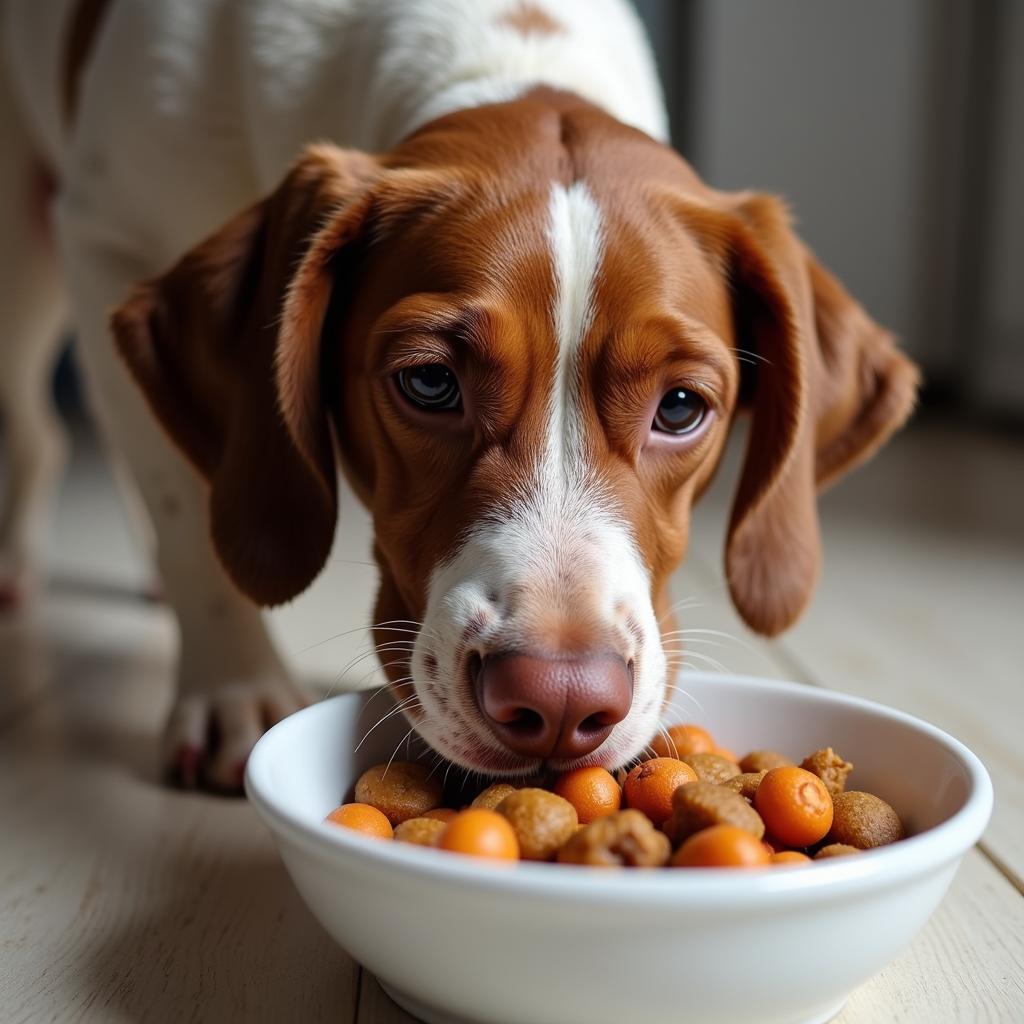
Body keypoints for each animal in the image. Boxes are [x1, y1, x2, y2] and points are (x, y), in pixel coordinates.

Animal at [0, 0, 917, 790]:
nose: (560, 702)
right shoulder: (105, 239)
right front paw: (232, 686)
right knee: (44, 427)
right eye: (430, 383)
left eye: (682, 408)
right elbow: (186, 514)